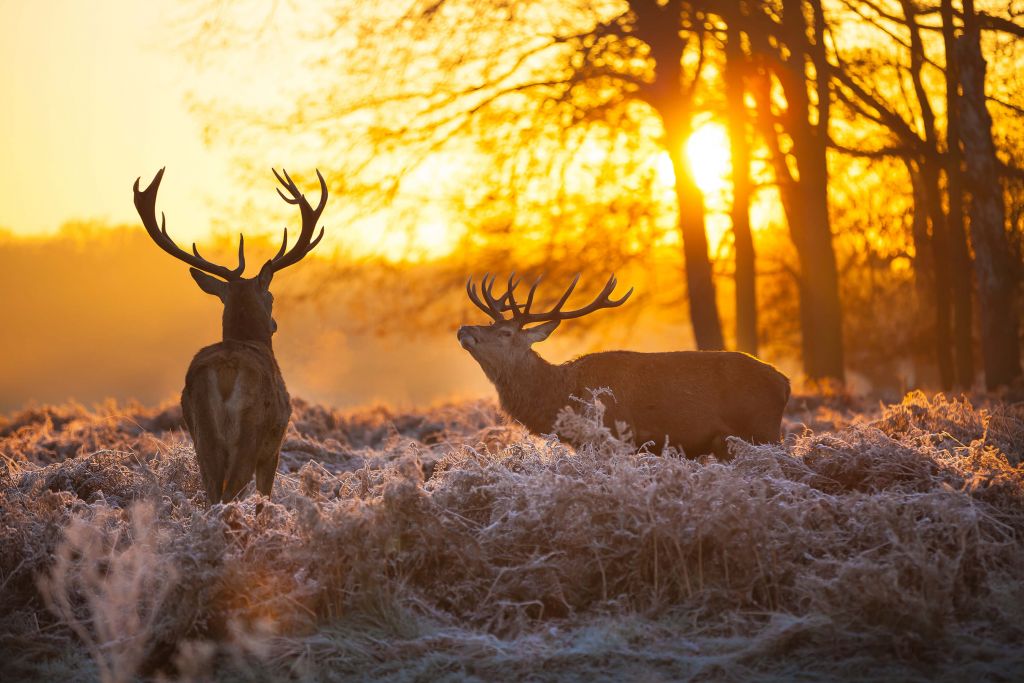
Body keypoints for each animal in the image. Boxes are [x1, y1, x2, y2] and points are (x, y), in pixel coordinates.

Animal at [130, 167, 325, 505]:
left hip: (201, 432)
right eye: (271, 296)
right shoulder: (274, 446)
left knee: (212, 492)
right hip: (250, 432)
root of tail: (225, 369)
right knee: (232, 490)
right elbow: (264, 496)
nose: (274, 324)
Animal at [458, 274, 790, 458]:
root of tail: (784, 383)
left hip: (763, 429)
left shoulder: (611, 437)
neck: (562, 396)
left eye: (505, 332)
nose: (464, 329)